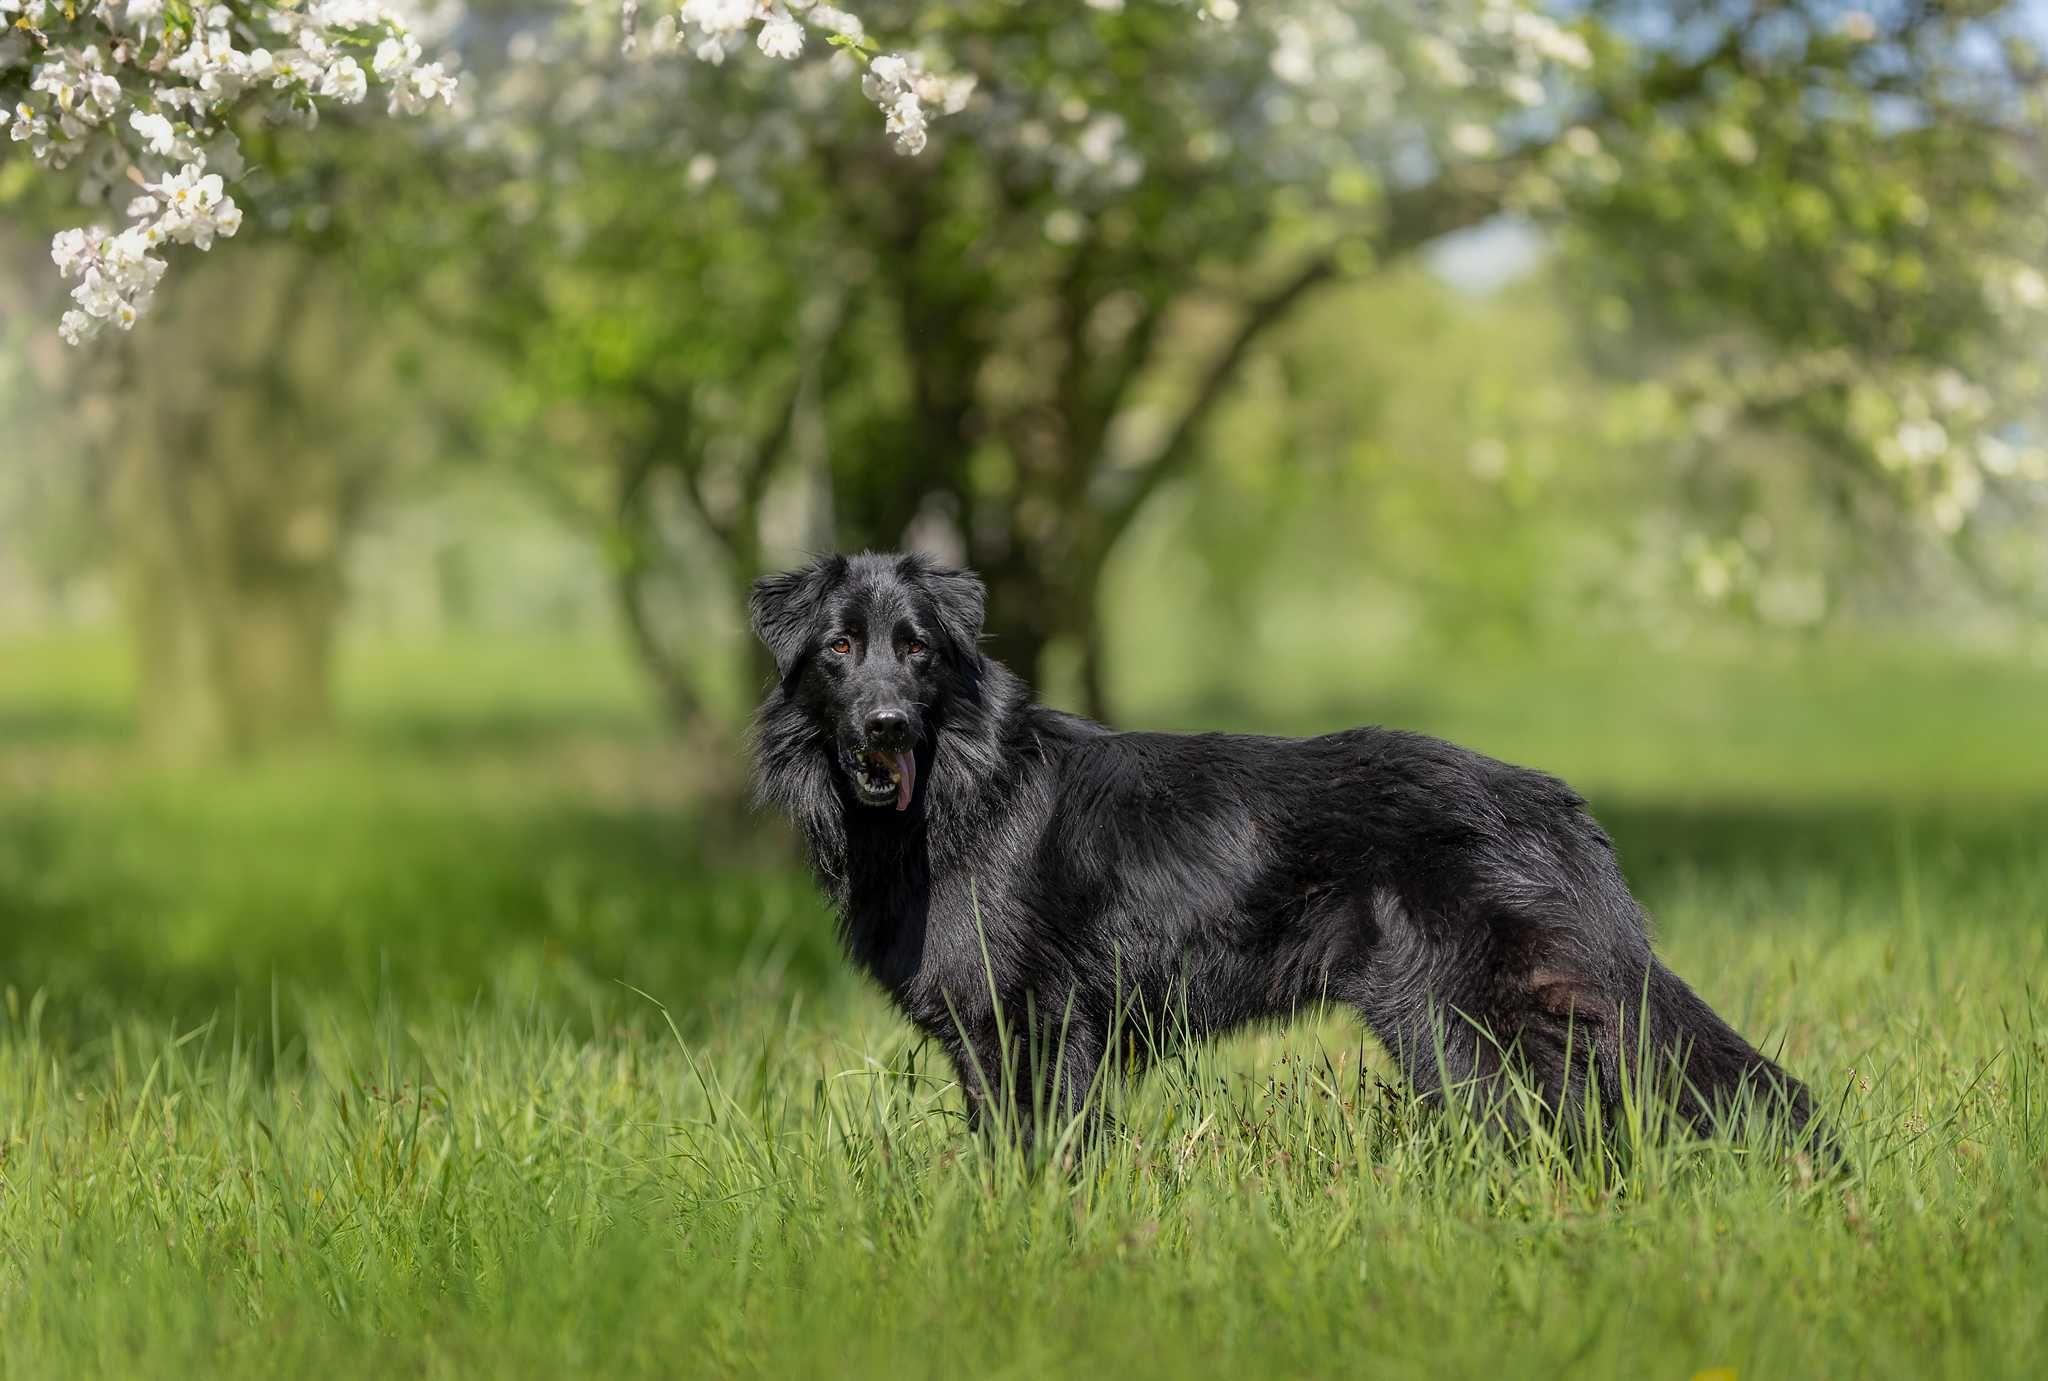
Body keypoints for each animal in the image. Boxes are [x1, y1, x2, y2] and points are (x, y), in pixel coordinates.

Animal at [753, 553, 1826, 1147]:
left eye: (919, 647)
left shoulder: (1036, 1028)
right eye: (840, 649)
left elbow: (1038, 1156)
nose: (886, 728)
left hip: (1458, 1025)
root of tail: (1551, 800)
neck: (957, 800)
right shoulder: (991, 1041)